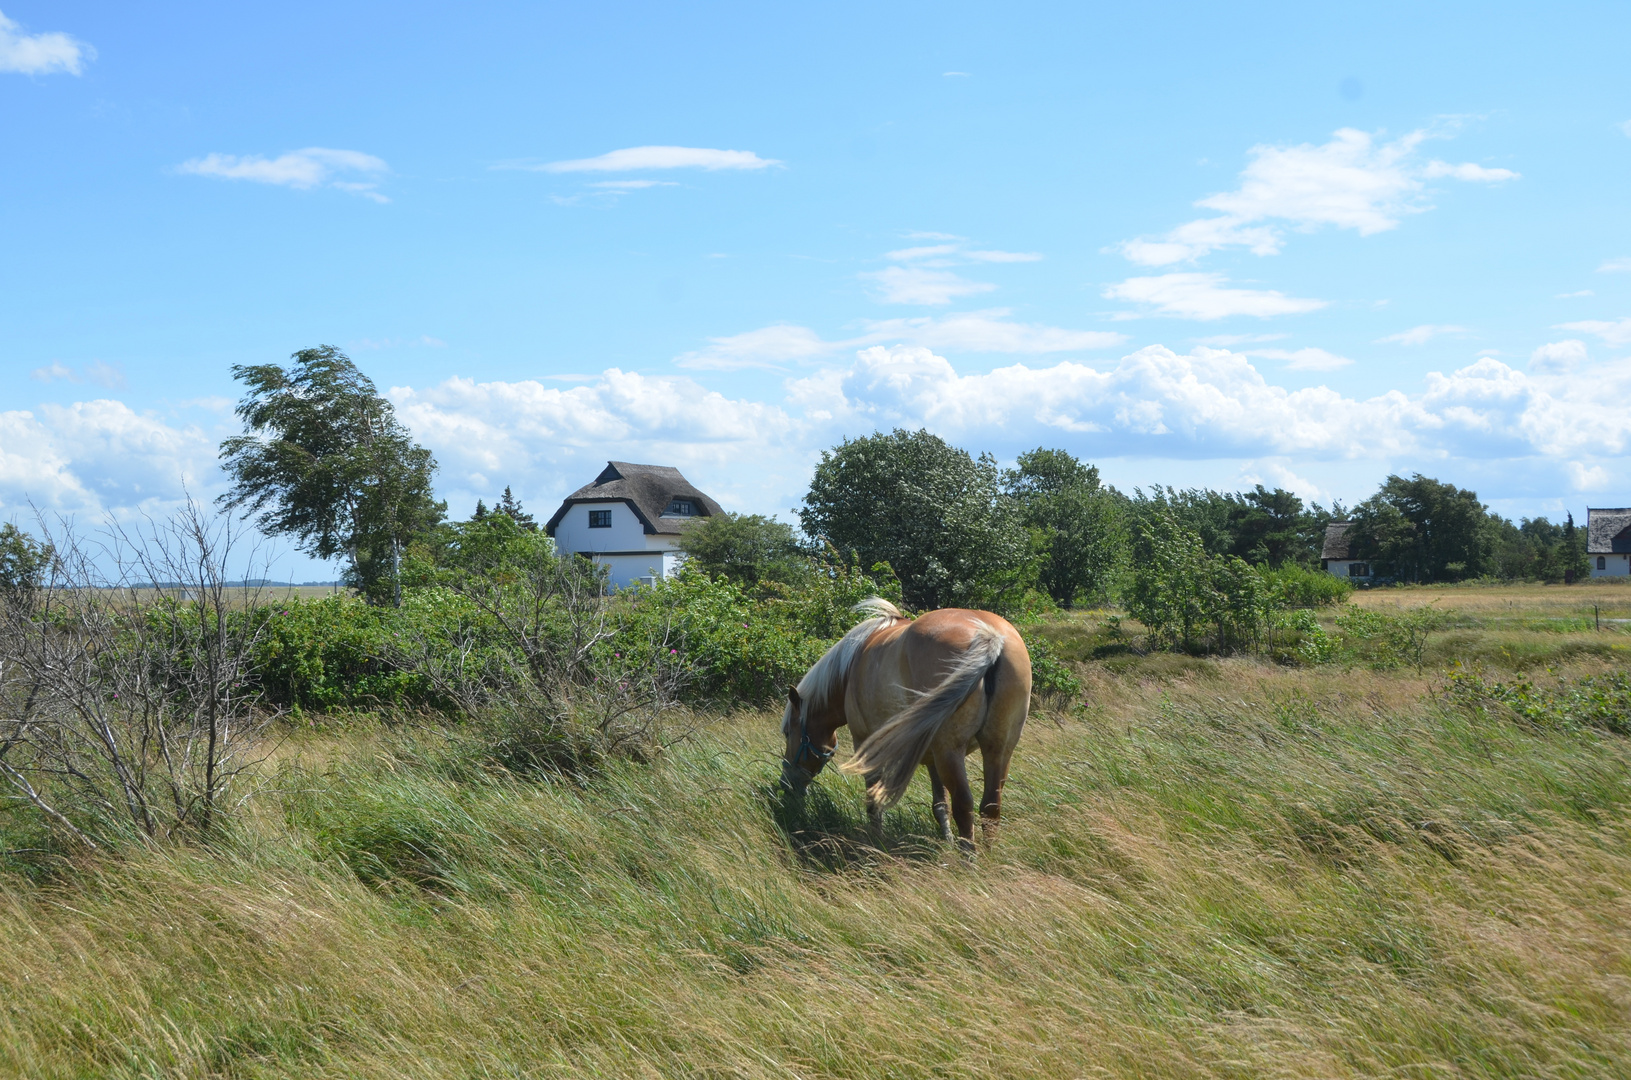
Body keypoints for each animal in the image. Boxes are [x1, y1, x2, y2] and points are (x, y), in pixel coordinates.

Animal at [779, 597, 1030, 848]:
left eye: (788, 733)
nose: (785, 784)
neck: (850, 668)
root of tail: (989, 635)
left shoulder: (864, 743)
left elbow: (873, 799)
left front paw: (876, 840)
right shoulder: (931, 755)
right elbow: (940, 804)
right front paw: (947, 840)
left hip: (950, 752)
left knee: (964, 805)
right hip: (997, 749)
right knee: (990, 806)